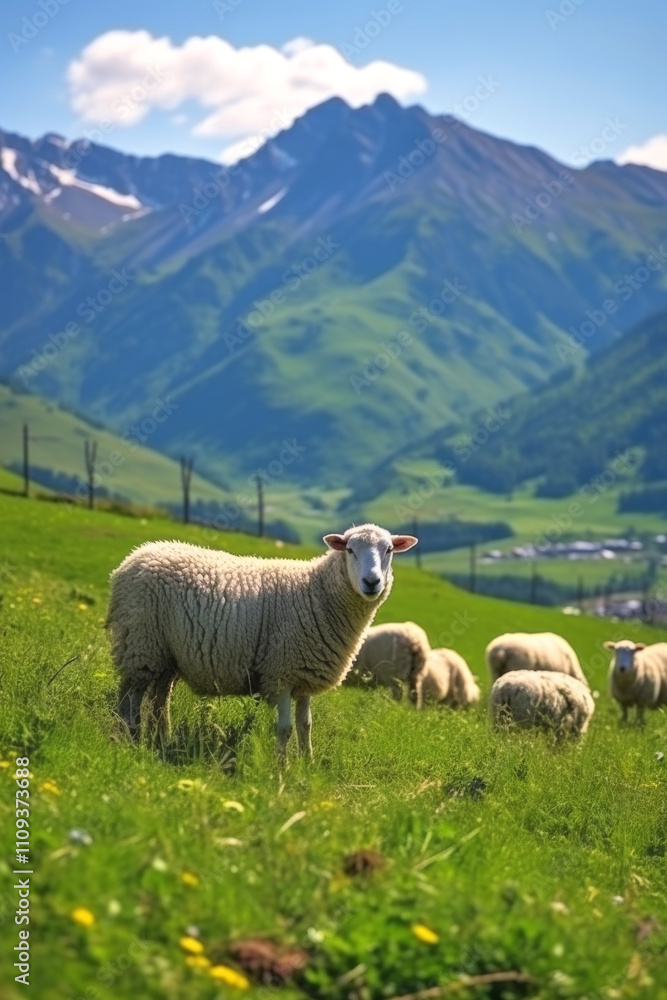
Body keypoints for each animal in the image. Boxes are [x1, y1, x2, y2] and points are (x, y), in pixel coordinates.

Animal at [106, 523, 417, 758]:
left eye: (389, 550)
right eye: (350, 549)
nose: (372, 582)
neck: (317, 593)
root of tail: (134, 557)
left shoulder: (305, 674)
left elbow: (306, 727)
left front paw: (307, 765)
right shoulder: (280, 673)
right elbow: (285, 729)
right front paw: (281, 772)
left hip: (166, 653)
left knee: (160, 699)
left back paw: (162, 740)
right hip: (141, 643)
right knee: (130, 699)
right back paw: (129, 740)